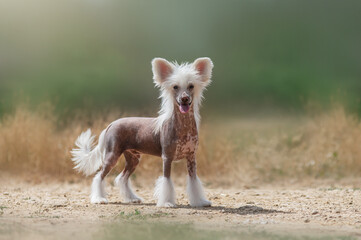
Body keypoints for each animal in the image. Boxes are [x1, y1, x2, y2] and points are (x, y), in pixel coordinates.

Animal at [71, 57, 212, 207]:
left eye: (191, 86)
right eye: (175, 87)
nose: (184, 98)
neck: (183, 127)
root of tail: (111, 124)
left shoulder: (191, 158)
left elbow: (194, 181)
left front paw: (200, 201)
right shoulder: (167, 158)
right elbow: (167, 182)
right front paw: (167, 203)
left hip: (133, 159)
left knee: (122, 178)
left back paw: (132, 198)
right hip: (112, 155)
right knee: (100, 176)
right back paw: (99, 199)